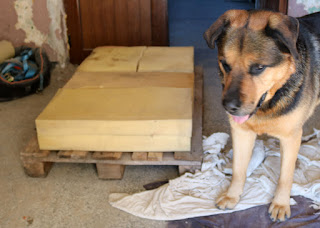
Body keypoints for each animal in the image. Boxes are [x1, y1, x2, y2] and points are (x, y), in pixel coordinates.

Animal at [204, 9, 320, 222]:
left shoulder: (291, 138)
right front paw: (232, 196)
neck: (268, 104)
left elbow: (285, 176)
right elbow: (238, 170)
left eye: (259, 67)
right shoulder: (241, 133)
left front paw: (281, 203)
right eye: (225, 64)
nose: (229, 107)